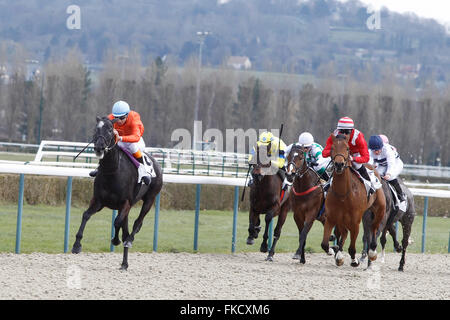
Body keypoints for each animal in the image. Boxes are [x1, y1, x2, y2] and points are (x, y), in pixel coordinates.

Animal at [73, 116, 164, 268]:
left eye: (110, 129)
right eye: (96, 129)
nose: (99, 147)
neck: (112, 171)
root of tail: (156, 164)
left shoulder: (125, 203)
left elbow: (116, 223)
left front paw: (115, 240)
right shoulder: (98, 201)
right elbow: (86, 215)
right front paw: (76, 245)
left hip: (150, 199)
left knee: (137, 222)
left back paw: (129, 240)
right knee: (126, 229)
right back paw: (124, 264)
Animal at [320, 135, 386, 268]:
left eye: (347, 148)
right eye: (332, 148)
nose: (339, 164)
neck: (343, 193)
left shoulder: (355, 221)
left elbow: (351, 247)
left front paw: (354, 260)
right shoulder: (332, 217)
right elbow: (324, 244)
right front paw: (335, 252)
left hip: (380, 209)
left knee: (374, 227)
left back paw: (372, 252)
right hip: (342, 219)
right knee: (344, 233)